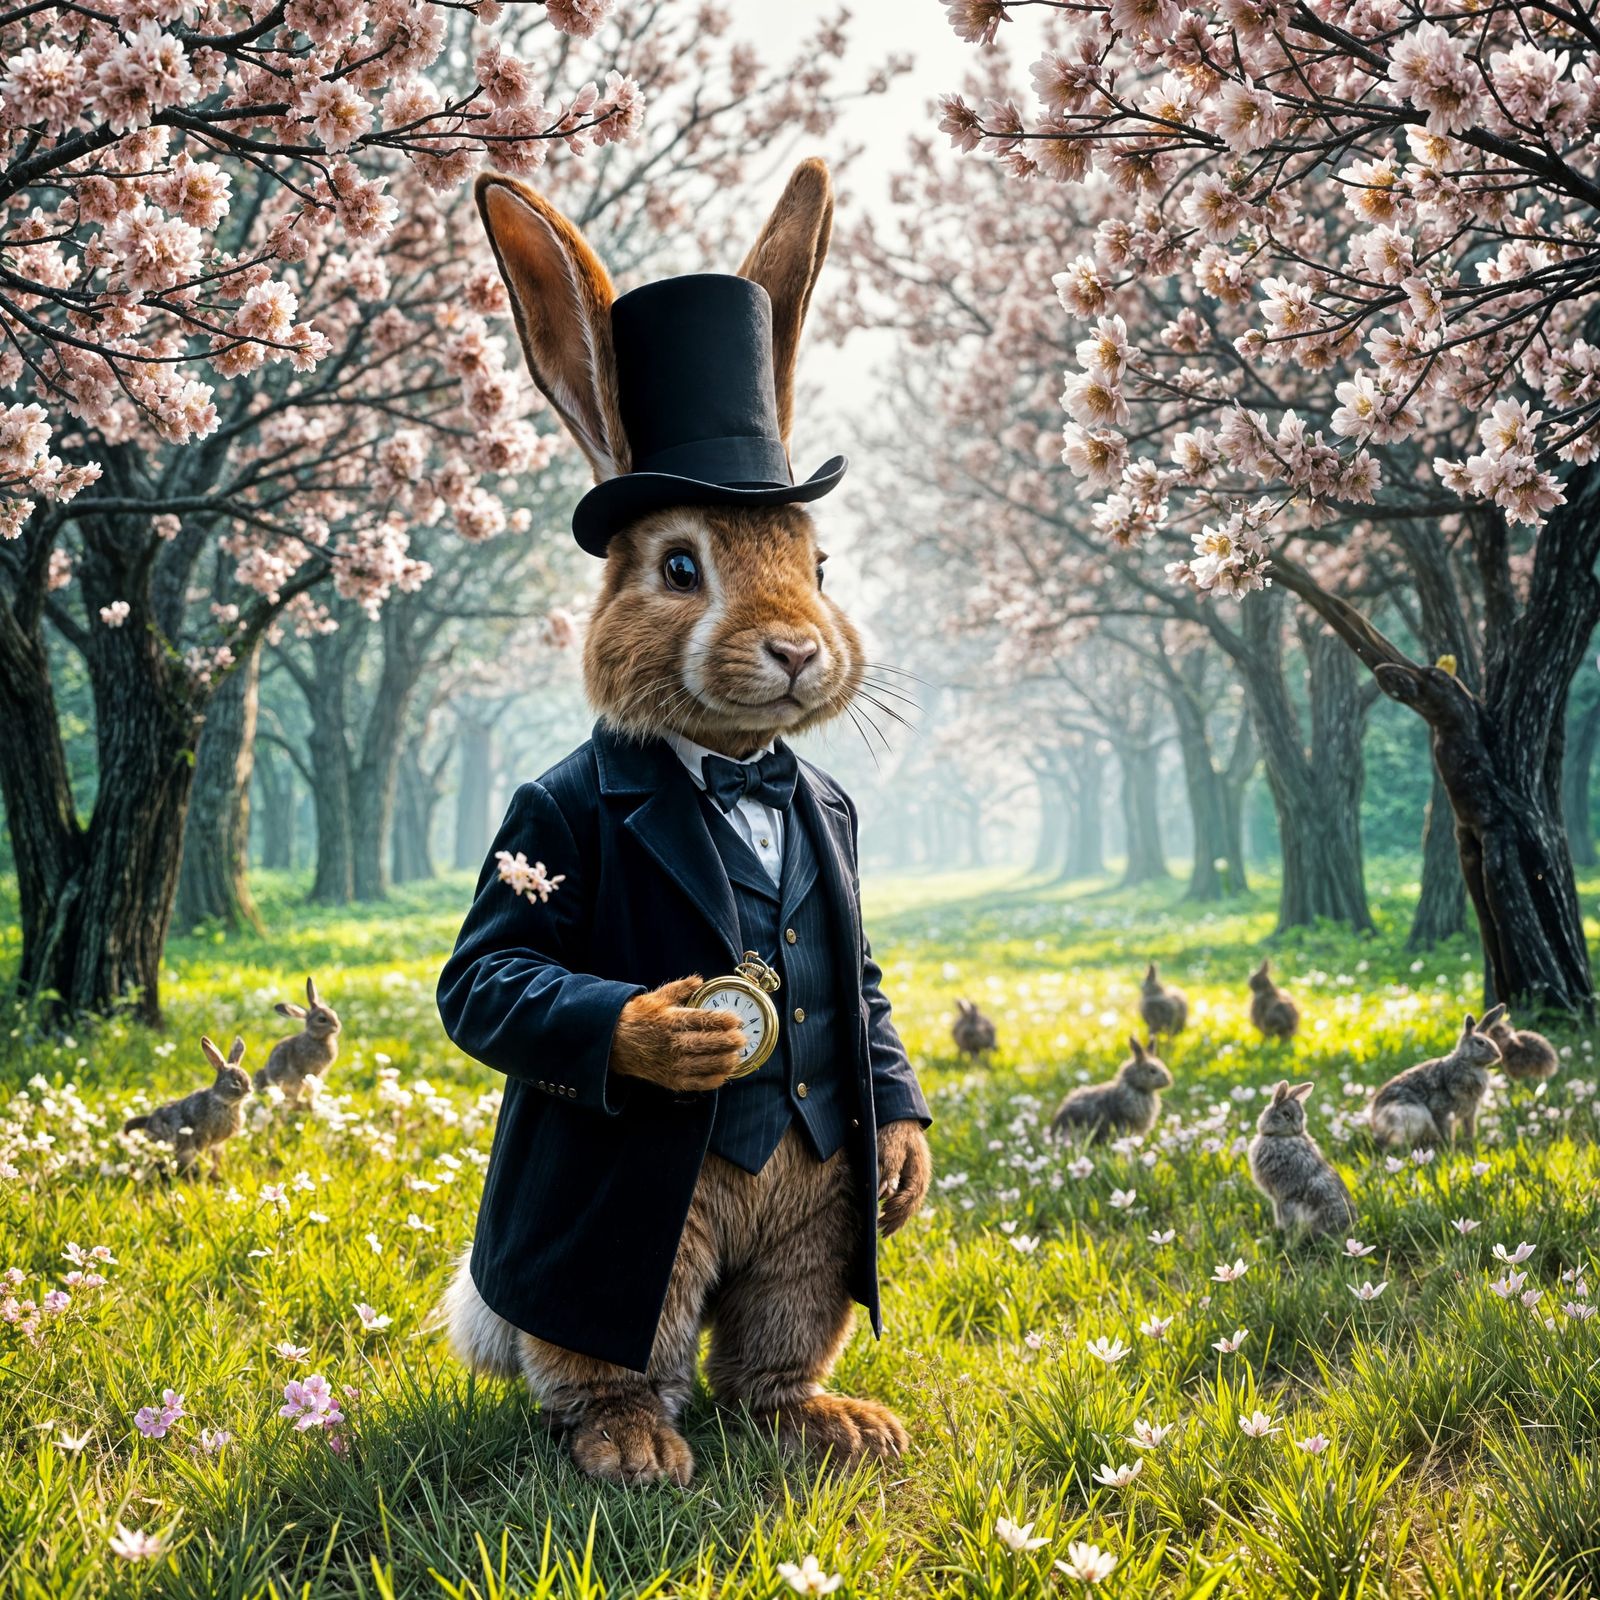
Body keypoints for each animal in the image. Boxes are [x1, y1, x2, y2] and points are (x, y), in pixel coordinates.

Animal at [437, 158, 932, 1490]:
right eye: (676, 568)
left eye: (820, 563)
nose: (798, 647)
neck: (733, 770)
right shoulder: (537, 836)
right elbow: (493, 978)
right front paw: (672, 1033)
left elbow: (864, 1002)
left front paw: (912, 1160)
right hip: (650, 1257)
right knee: (612, 1350)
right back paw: (633, 1447)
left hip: (817, 1222)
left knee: (773, 1337)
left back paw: (828, 1422)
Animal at [1369, 1012, 1501, 1148]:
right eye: (1480, 1042)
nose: (1498, 1055)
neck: (1467, 1063)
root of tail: (1376, 1124)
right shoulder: (1442, 1111)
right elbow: (1447, 1133)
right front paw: (1450, 1151)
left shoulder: (1469, 1112)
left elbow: (1469, 1131)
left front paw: (1470, 1148)